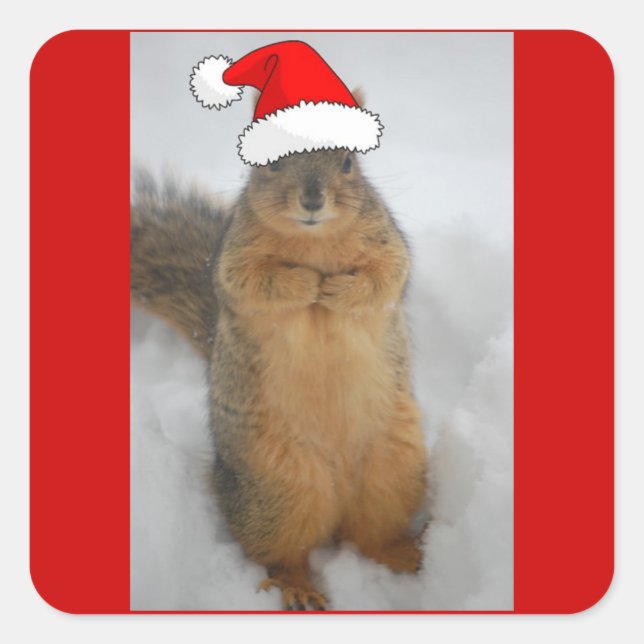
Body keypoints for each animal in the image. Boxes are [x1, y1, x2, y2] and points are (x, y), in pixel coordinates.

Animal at [130, 144, 428, 611]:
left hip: (394, 470)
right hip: (278, 489)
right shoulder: (235, 259)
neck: (314, 240)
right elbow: (254, 283)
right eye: (269, 162)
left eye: (348, 162)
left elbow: (383, 278)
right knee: (281, 554)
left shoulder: (387, 243)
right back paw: (299, 588)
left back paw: (407, 553)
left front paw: (337, 289)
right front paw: (306, 283)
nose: (312, 199)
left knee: (370, 537)